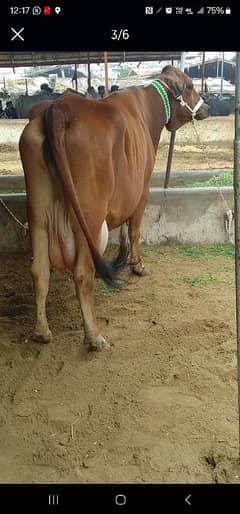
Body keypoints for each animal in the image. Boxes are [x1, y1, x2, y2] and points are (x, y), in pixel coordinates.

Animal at [19, 66, 208, 350]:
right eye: (191, 86)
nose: (206, 107)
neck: (147, 110)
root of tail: (61, 107)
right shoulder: (142, 189)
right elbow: (134, 230)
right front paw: (137, 266)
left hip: (38, 212)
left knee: (39, 271)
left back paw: (41, 331)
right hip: (88, 215)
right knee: (82, 275)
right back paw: (94, 335)